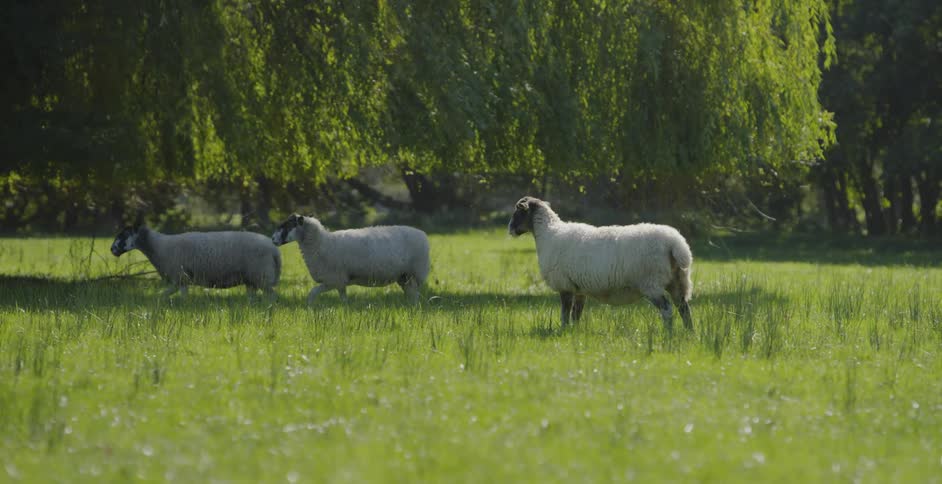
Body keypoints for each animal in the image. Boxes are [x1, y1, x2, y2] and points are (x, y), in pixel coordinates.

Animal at [110, 225, 281, 299]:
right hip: (252, 279)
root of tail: (274, 250)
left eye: (123, 236)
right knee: (253, 297)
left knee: (272, 296)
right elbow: (165, 294)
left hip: (261, 275)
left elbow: (177, 296)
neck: (158, 246)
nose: (112, 249)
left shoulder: (179, 276)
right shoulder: (180, 279)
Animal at [271, 213, 430, 304]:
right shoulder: (340, 282)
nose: (272, 239)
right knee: (411, 295)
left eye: (287, 225)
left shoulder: (333, 279)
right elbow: (343, 300)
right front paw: (345, 312)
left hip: (415, 273)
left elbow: (312, 293)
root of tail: (423, 234)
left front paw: (309, 309)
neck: (321, 243)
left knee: (415, 295)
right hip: (404, 277)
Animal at [508, 196, 693, 330]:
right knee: (684, 308)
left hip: (651, 282)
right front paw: (574, 333)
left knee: (667, 309)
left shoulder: (565, 285)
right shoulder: (579, 289)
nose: (510, 230)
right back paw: (689, 334)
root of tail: (675, 242)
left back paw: (669, 334)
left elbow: (565, 314)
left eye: (517, 212)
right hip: (677, 281)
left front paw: (563, 331)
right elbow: (576, 315)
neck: (549, 233)